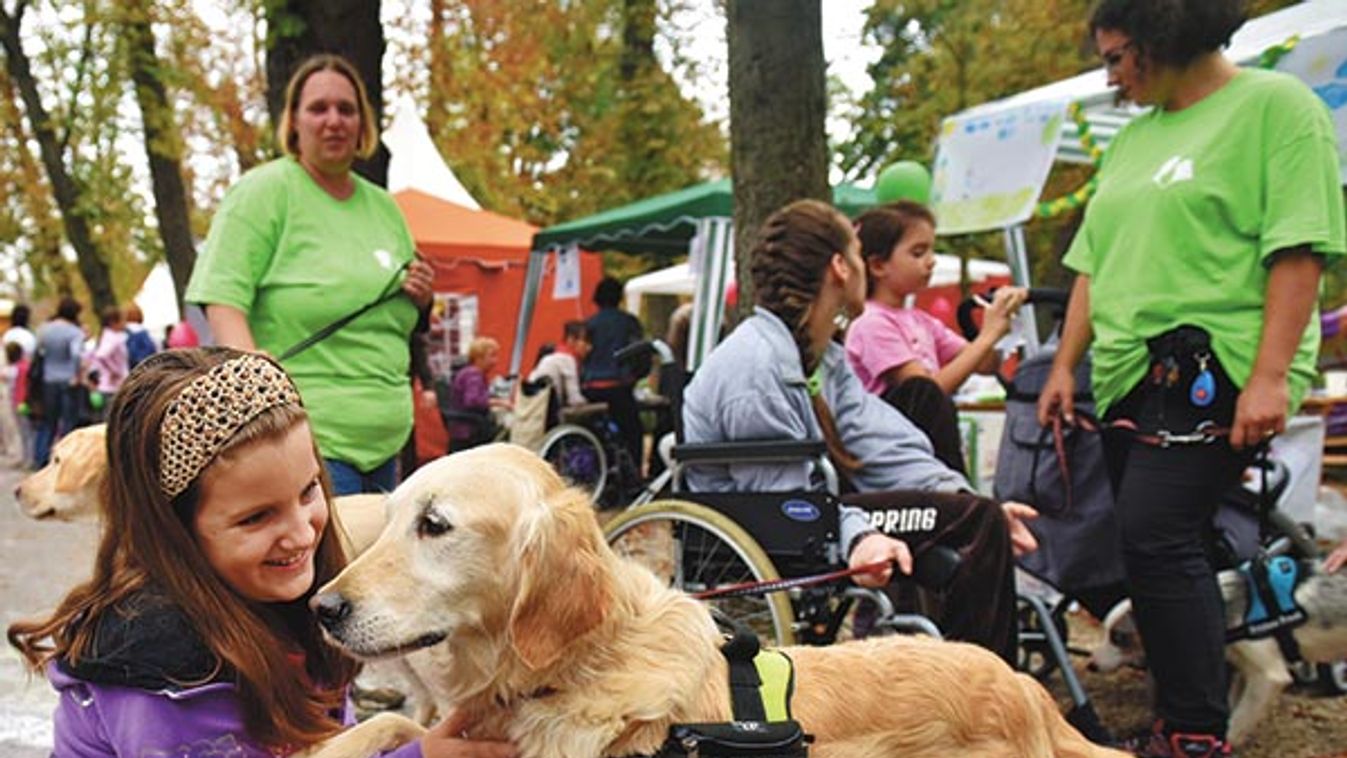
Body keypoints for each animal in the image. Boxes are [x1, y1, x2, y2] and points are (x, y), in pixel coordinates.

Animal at [315, 444, 1126, 758]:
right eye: (390, 518)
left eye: (435, 525)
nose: (322, 608)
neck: (568, 672)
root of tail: (1027, 689)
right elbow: (390, 724)